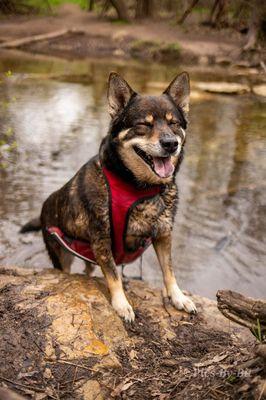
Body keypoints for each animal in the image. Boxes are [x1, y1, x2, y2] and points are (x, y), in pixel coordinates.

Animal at [20, 72, 197, 322]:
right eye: (143, 125)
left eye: (174, 124)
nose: (171, 144)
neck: (140, 188)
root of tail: (44, 208)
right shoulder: (102, 239)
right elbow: (113, 275)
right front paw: (121, 304)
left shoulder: (163, 233)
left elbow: (169, 270)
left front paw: (178, 297)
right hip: (61, 253)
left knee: (88, 269)